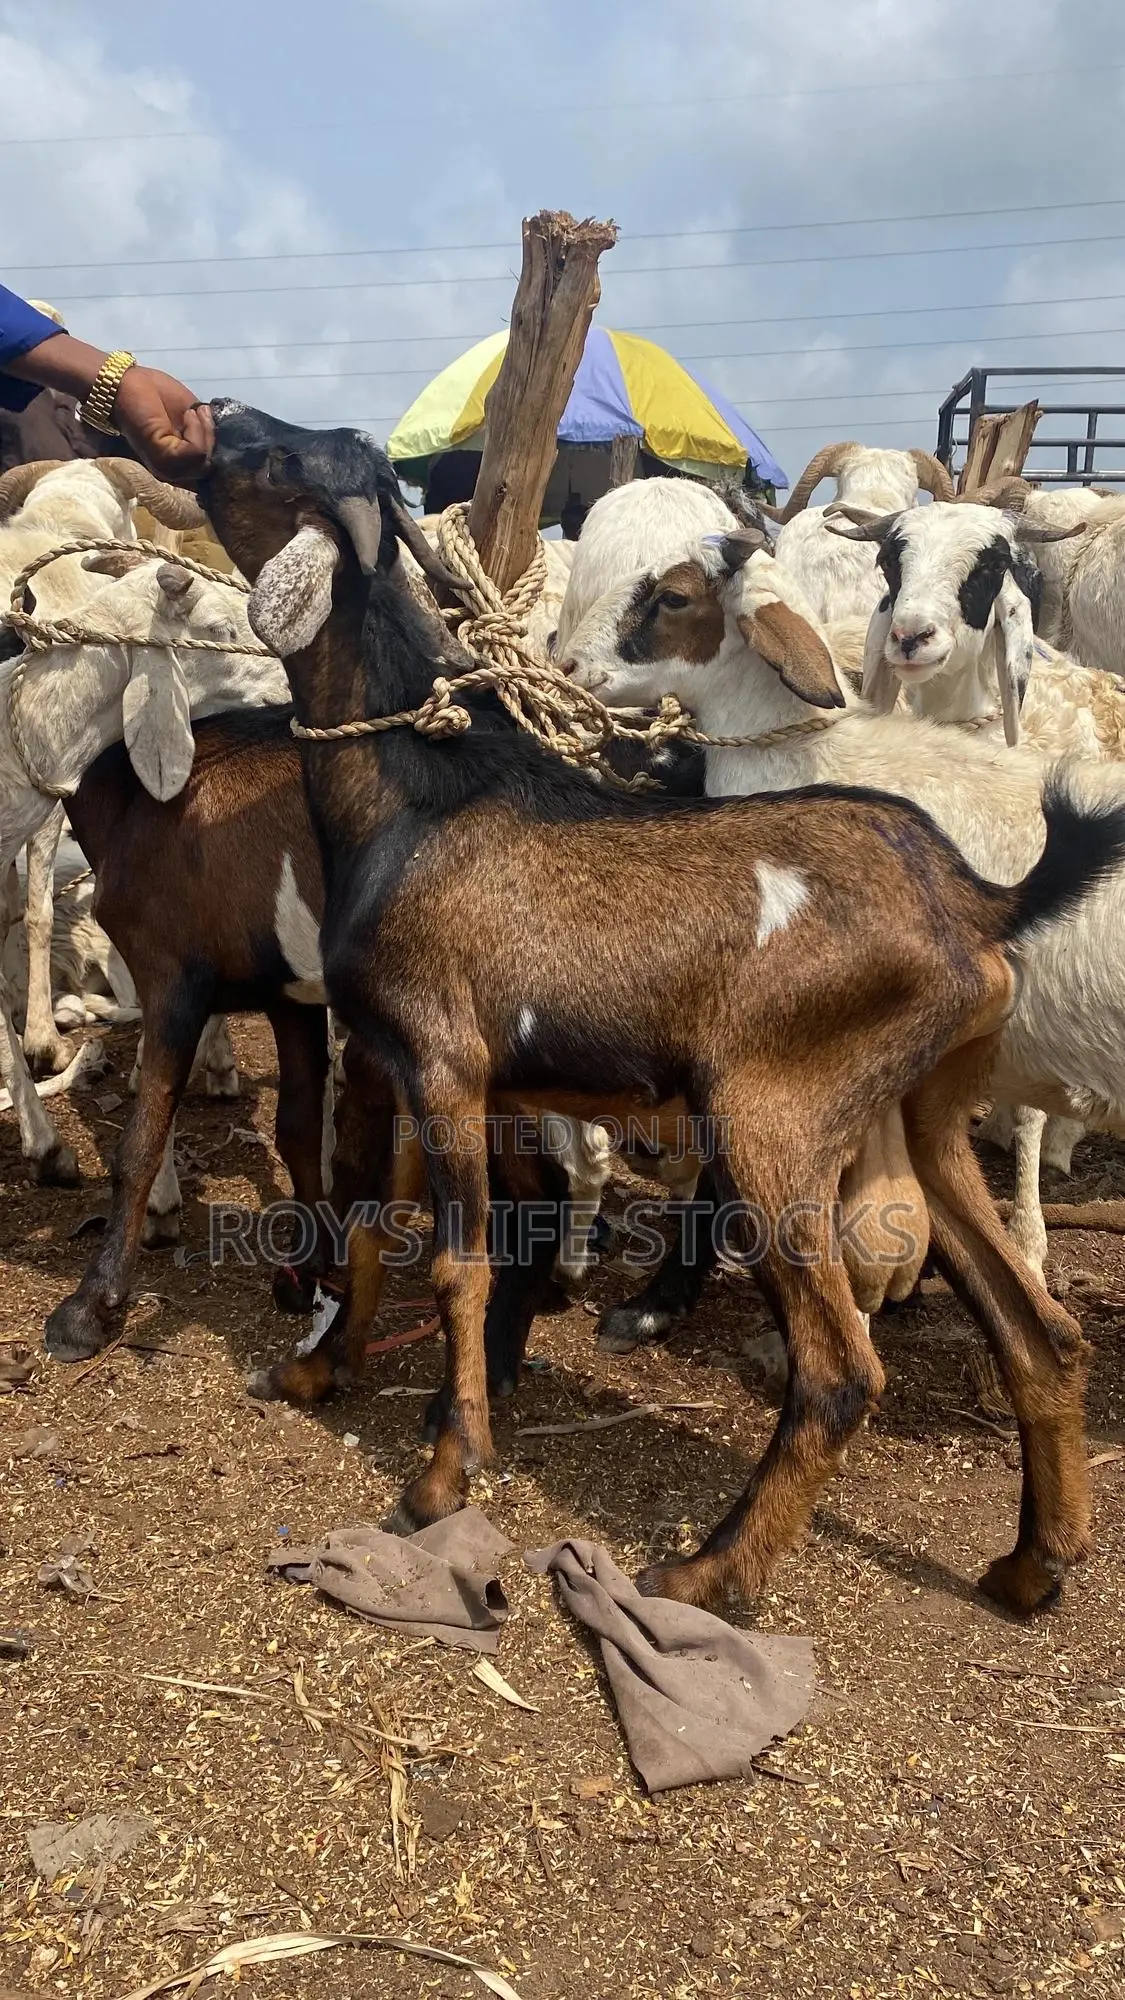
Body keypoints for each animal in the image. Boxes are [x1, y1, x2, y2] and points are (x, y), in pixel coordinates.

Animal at [199, 400, 1123, 1617]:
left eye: (269, 461)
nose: (214, 414)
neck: (413, 796)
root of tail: (979, 896)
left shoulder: (443, 1060)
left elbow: (455, 1263)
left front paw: (444, 1474)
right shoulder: (421, 1060)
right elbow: (368, 1216)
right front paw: (320, 1368)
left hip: (774, 1117)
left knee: (841, 1370)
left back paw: (707, 1568)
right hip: (928, 1108)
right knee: (1042, 1334)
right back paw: (1030, 1564)